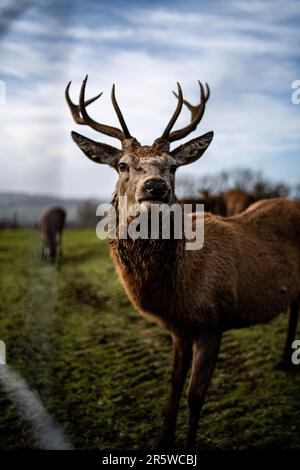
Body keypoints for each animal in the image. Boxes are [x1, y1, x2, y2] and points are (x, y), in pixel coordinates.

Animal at [65, 78, 300, 452]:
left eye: (173, 166)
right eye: (122, 165)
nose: (156, 186)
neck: (178, 289)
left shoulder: (212, 323)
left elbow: (196, 394)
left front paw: (187, 444)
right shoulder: (179, 327)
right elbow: (174, 384)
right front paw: (161, 439)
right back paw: (283, 359)